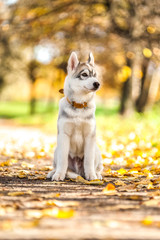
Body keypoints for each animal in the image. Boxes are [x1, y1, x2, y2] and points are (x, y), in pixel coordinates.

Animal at [47, 51, 102, 181]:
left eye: (95, 75)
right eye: (84, 74)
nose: (97, 83)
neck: (79, 106)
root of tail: (78, 171)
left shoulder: (90, 136)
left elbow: (88, 160)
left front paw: (91, 175)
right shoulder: (63, 135)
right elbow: (62, 161)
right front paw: (59, 175)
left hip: (96, 150)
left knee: (97, 167)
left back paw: (96, 174)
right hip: (57, 150)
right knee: (61, 165)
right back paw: (54, 172)